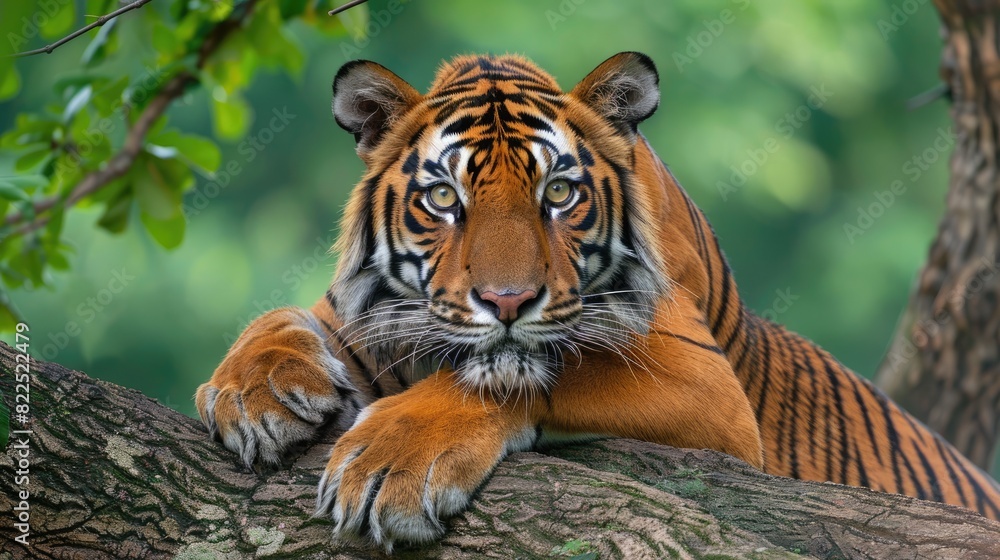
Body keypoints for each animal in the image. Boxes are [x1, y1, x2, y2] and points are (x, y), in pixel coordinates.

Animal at [194, 52, 1000, 550]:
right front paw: (252, 391)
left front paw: (390, 463)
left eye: (558, 193)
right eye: (443, 199)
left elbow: (521, 373)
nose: (507, 301)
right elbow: (285, 317)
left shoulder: (704, 382)